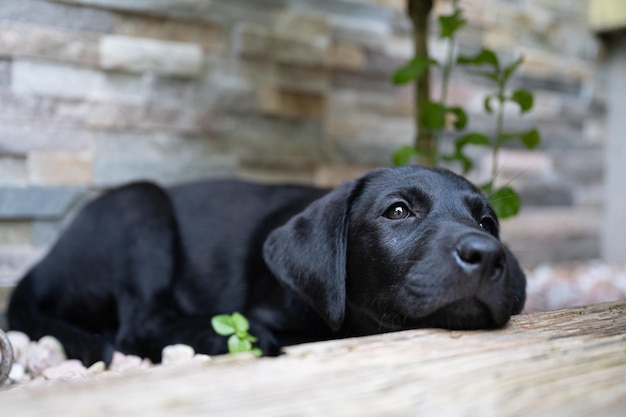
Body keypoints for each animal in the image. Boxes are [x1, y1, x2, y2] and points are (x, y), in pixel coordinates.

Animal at [7, 166, 524, 364]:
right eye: (398, 211)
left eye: (488, 222)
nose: (487, 253)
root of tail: (42, 266)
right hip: (139, 205)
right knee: (137, 327)